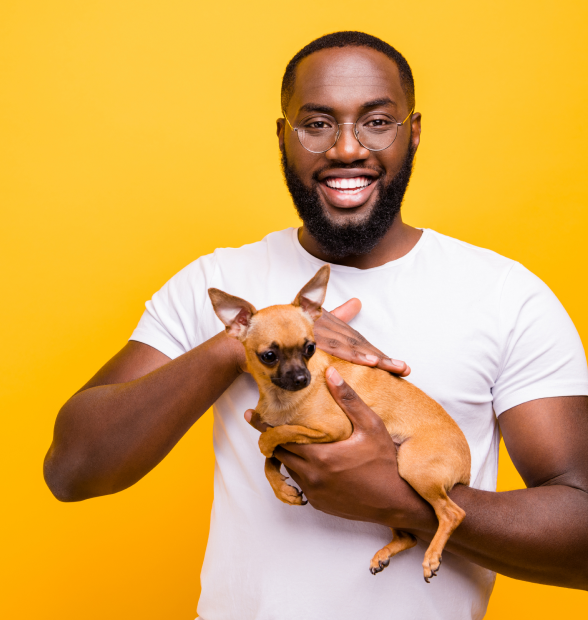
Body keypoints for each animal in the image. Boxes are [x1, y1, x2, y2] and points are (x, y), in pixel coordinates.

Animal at [209, 266, 470, 580]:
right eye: (269, 356)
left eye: (310, 348)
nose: (302, 378)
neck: (279, 398)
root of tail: (467, 467)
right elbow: (271, 460)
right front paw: (283, 490)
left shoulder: (336, 430)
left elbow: (280, 434)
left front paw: (267, 444)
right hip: (392, 501)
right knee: (409, 535)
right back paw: (387, 553)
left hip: (414, 469)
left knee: (452, 513)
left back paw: (431, 557)